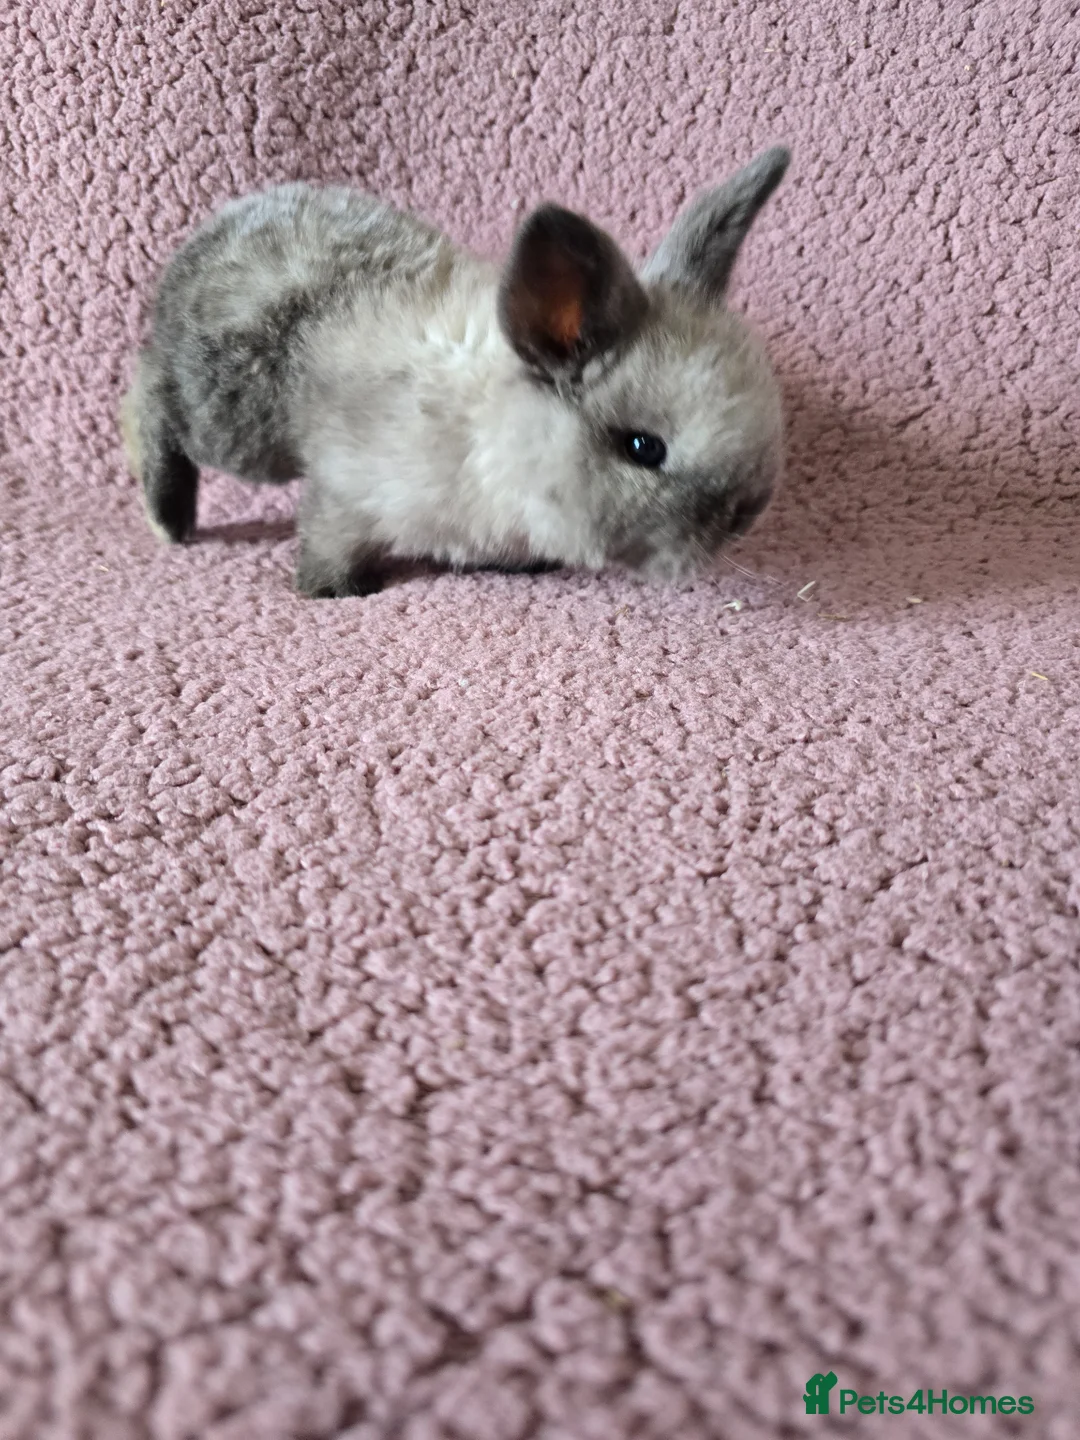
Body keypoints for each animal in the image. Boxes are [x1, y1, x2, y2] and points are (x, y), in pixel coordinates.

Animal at [121, 146, 790, 597]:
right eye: (643, 447)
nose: (747, 515)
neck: (497, 434)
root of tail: (212, 230)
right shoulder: (345, 489)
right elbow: (328, 536)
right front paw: (330, 590)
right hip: (234, 424)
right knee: (148, 396)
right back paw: (168, 521)